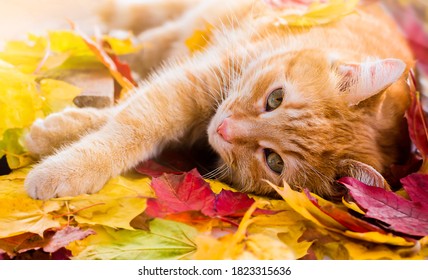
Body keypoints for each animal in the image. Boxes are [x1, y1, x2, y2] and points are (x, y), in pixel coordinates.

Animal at [24, 0, 414, 201]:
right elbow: (132, 124)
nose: (225, 129)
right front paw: (62, 164)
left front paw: (54, 136)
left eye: (273, 161)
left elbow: (121, 116)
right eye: (275, 98)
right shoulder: (191, 81)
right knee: (131, 28)